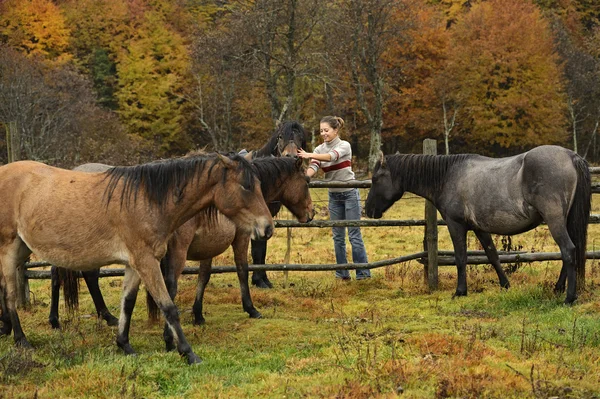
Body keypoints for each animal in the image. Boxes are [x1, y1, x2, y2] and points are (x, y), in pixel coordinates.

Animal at [0, 154, 274, 366]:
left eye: (259, 184)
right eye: (246, 186)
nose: (268, 228)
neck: (146, 201)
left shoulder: (134, 264)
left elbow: (128, 303)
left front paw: (124, 345)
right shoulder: (146, 261)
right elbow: (168, 307)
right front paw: (188, 353)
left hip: (22, 249)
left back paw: (5, 329)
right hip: (9, 249)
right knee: (11, 294)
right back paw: (21, 339)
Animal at [151, 156, 314, 350]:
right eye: (306, 181)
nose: (311, 213)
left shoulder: (208, 248)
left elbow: (203, 276)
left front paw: (198, 315)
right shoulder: (242, 238)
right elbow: (242, 270)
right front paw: (251, 308)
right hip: (177, 253)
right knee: (169, 288)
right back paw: (168, 339)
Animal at [250, 120, 308, 290]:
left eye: (300, 138)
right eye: (281, 136)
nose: (291, 156)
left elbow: (262, 249)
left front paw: (263, 279)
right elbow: (257, 249)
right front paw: (258, 280)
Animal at [366, 145, 592, 304]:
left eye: (376, 178)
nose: (368, 211)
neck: (448, 176)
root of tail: (571, 156)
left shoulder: (456, 225)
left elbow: (461, 258)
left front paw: (460, 291)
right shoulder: (480, 228)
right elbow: (492, 256)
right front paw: (505, 285)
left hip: (555, 220)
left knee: (568, 250)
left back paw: (568, 297)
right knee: (570, 252)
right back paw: (558, 289)